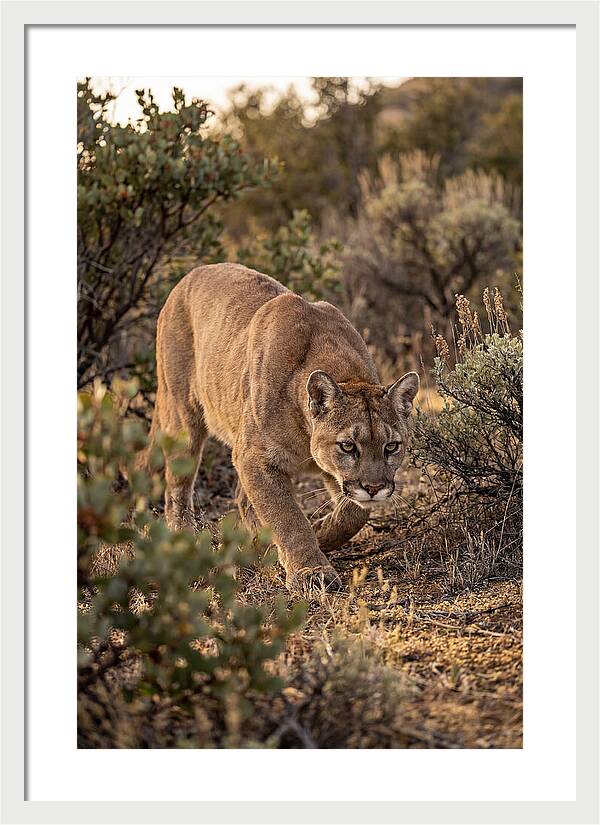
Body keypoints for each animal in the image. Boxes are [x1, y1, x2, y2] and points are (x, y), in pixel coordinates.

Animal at [145, 263, 419, 592]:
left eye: (391, 446)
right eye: (348, 446)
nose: (375, 488)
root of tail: (191, 274)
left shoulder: (328, 472)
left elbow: (354, 512)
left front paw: (320, 533)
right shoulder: (255, 457)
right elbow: (287, 517)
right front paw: (311, 571)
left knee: (241, 497)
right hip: (183, 416)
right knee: (177, 487)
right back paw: (183, 539)